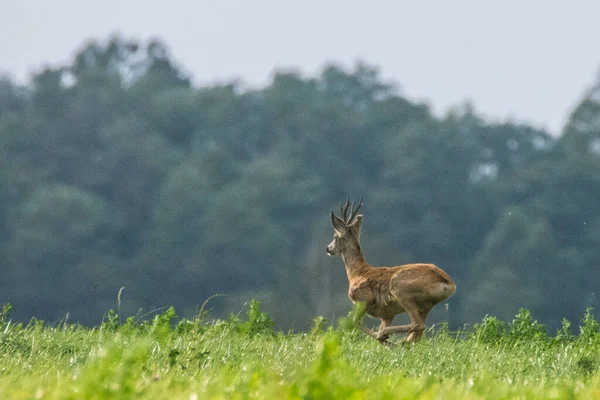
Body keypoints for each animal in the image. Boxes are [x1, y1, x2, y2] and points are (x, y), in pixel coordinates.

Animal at [328, 198, 454, 346]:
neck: (357, 272)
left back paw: (386, 337)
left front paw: (382, 337)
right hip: (425, 305)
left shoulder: (364, 299)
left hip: (401, 290)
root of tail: (448, 283)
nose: (328, 248)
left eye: (335, 236)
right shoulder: (387, 314)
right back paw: (396, 341)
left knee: (417, 325)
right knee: (416, 334)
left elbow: (354, 322)